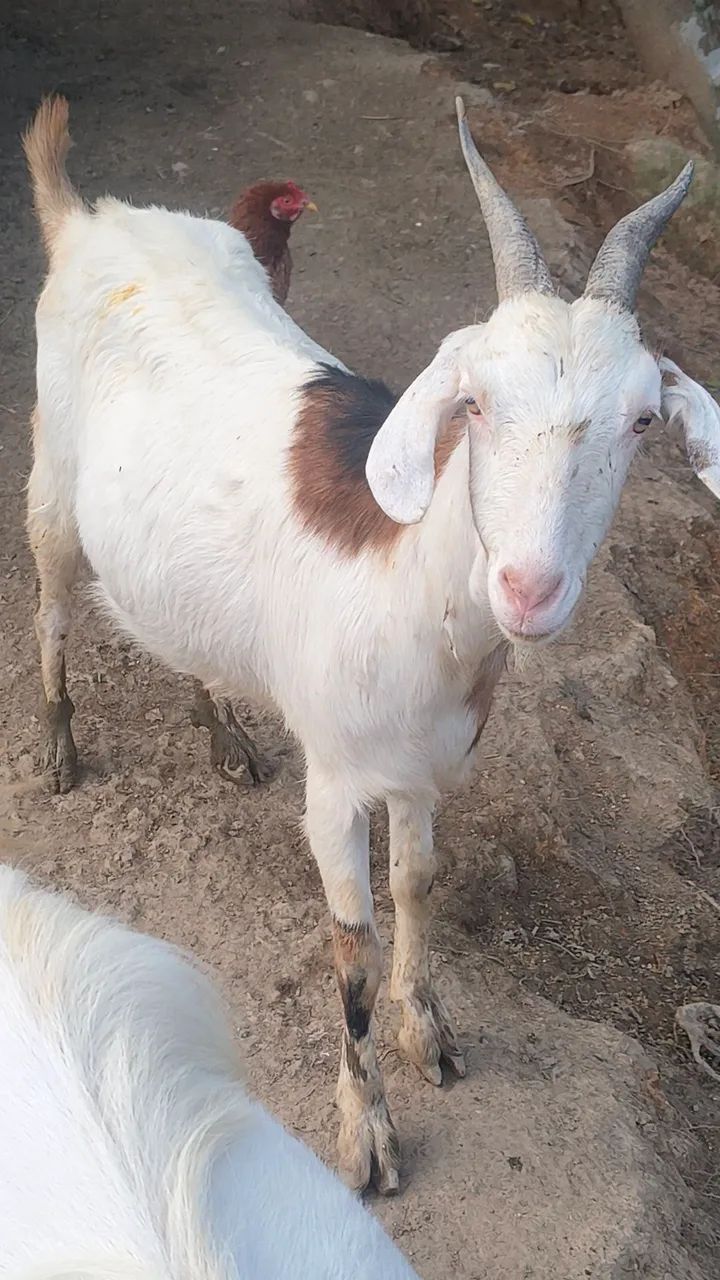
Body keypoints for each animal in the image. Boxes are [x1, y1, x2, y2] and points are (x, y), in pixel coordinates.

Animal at [23, 94, 719, 1195]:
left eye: (644, 418)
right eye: (473, 401)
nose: (529, 588)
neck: (410, 597)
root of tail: (91, 216)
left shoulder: (424, 767)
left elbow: (416, 883)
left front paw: (426, 1027)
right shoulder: (340, 782)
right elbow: (348, 945)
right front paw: (369, 1134)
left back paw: (222, 734)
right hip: (52, 476)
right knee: (52, 599)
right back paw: (57, 742)